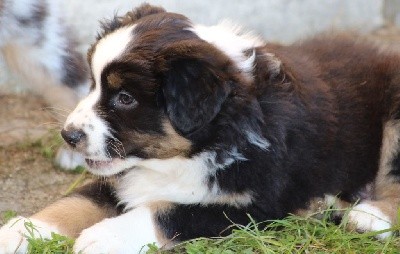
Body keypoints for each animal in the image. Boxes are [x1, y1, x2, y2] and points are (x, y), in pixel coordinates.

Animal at [0, 2, 400, 253]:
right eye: (93, 84)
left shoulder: (256, 206)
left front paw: (104, 236)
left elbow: (169, 211)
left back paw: (367, 217)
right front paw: (22, 230)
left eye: (125, 98)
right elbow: (75, 201)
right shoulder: (121, 177)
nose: (68, 136)